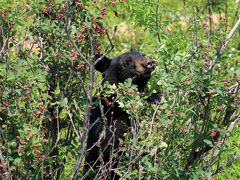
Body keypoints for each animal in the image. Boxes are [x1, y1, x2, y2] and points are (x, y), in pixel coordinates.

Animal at [83, 47, 158, 179]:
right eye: (128, 61)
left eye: (142, 54)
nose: (149, 63)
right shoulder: (106, 120)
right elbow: (110, 143)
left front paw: (156, 99)